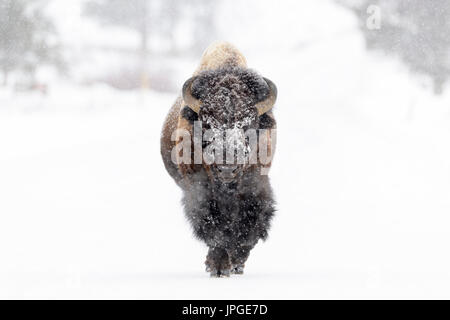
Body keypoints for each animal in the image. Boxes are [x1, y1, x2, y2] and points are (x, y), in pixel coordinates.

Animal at [160, 41, 276, 276]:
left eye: (248, 123)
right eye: (207, 123)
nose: (227, 168)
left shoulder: (256, 184)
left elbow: (249, 223)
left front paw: (236, 261)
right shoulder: (199, 189)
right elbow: (214, 226)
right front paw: (218, 266)